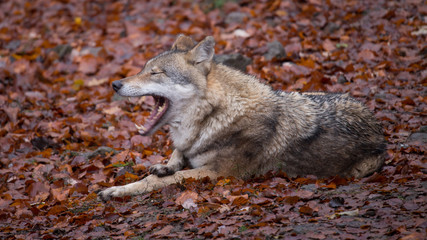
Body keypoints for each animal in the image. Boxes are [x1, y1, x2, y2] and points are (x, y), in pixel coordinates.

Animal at [98, 35, 386, 201]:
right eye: (143, 69)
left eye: (156, 73)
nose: (115, 84)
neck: (212, 116)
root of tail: (378, 127)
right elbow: (174, 158)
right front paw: (165, 165)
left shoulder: (216, 173)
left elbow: (166, 179)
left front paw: (117, 190)